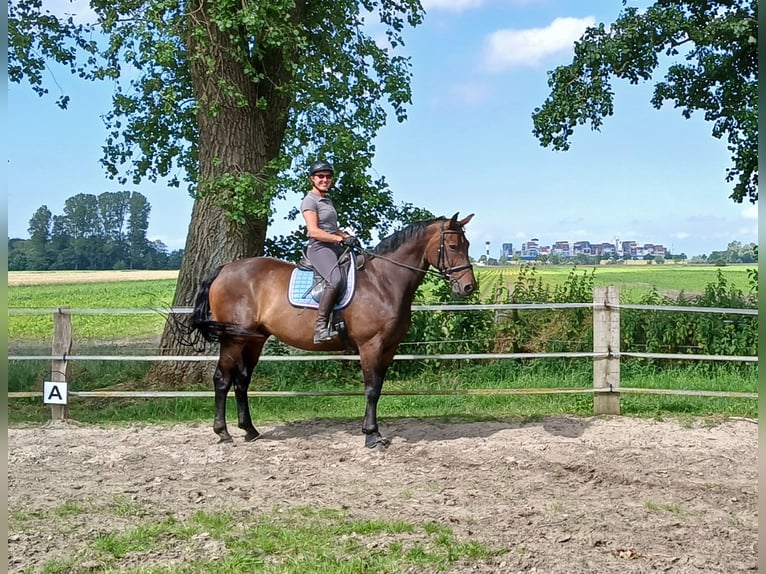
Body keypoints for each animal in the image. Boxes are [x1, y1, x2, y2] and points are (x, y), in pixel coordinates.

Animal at [184, 213, 474, 450]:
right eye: (453, 246)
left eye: (467, 245)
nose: (468, 287)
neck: (383, 281)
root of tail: (224, 269)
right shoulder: (371, 345)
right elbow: (371, 389)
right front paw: (372, 436)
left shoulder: (389, 348)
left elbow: (378, 388)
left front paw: (373, 432)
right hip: (232, 339)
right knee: (222, 380)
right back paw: (223, 433)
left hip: (253, 339)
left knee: (242, 381)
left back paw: (250, 430)